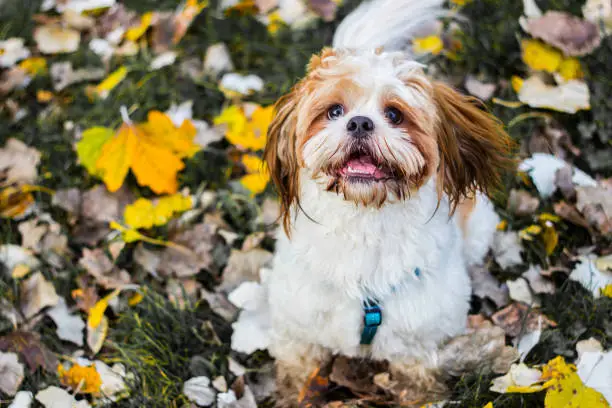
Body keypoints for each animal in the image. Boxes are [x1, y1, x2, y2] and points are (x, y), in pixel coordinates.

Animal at [262, 0, 516, 404]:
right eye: (335, 111)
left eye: (395, 114)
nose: (360, 123)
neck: (365, 224)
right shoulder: (298, 329)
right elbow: (300, 374)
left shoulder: (418, 338)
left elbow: (416, 380)